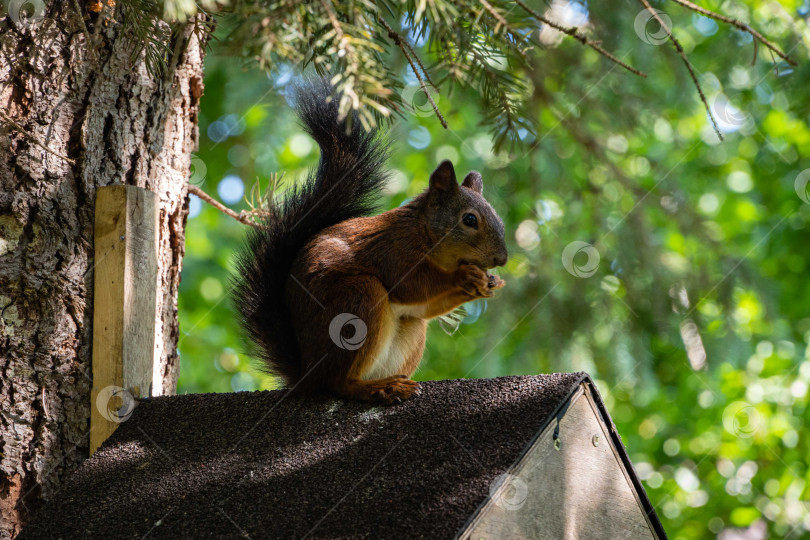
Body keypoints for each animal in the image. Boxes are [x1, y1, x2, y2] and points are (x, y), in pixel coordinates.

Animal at [230, 79, 504, 400]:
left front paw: (487, 283)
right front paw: (464, 277)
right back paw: (377, 388)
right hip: (357, 300)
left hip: (409, 331)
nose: (501, 259)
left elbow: (424, 306)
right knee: (339, 384)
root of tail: (308, 376)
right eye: (470, 220)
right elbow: (413, 285)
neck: (425, 233)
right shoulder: (393, 250)